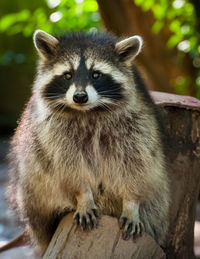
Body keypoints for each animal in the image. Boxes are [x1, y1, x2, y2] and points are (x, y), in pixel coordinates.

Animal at [8, 30, 170, 256]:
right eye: (68, 75)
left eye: (96, 75)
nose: (79, 97)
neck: (89, 112)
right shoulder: (53, 132)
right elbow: (69, 166)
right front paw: (83, 196)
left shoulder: (137, 125)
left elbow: (136, 165)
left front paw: (131, 203)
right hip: (32, 195)